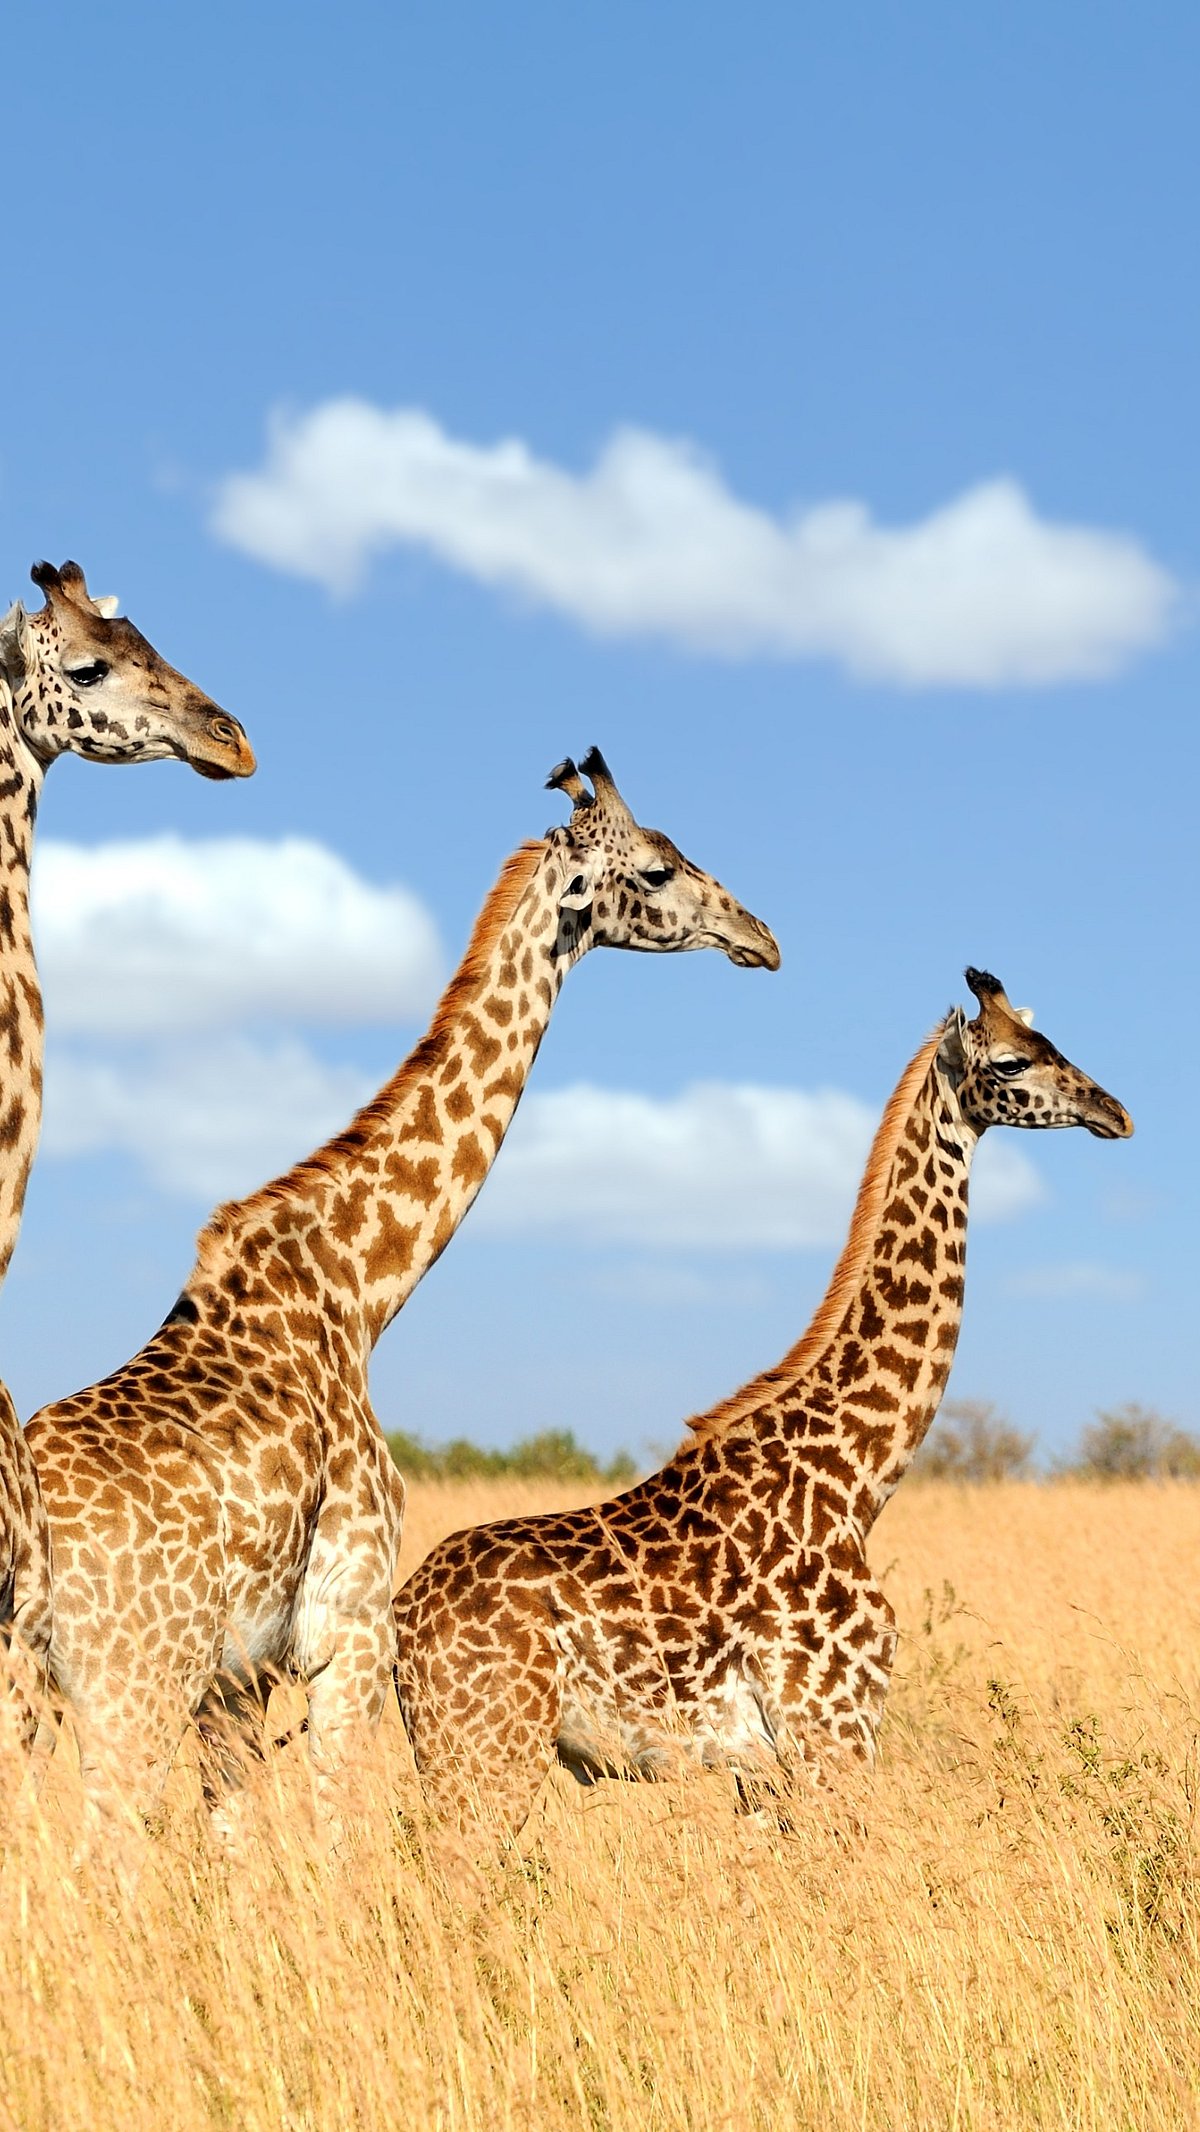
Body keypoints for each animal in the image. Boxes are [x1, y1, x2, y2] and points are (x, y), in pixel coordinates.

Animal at [25, 747, 779, 1830]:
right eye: (661, 867)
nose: (761, 938)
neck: (359, 1287)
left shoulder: (240, 1677)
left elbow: (235, 1838)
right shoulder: (346, 1628)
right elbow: (338, 1832)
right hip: (131, 1678)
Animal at [394, 968, 1132, 1849]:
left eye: (1052, 1041)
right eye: (1015, 1061)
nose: (1113, 1111)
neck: (856, 1476)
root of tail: (398, 1619)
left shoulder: (770, 1770)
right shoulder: (833, 1728)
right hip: (488, 1749)